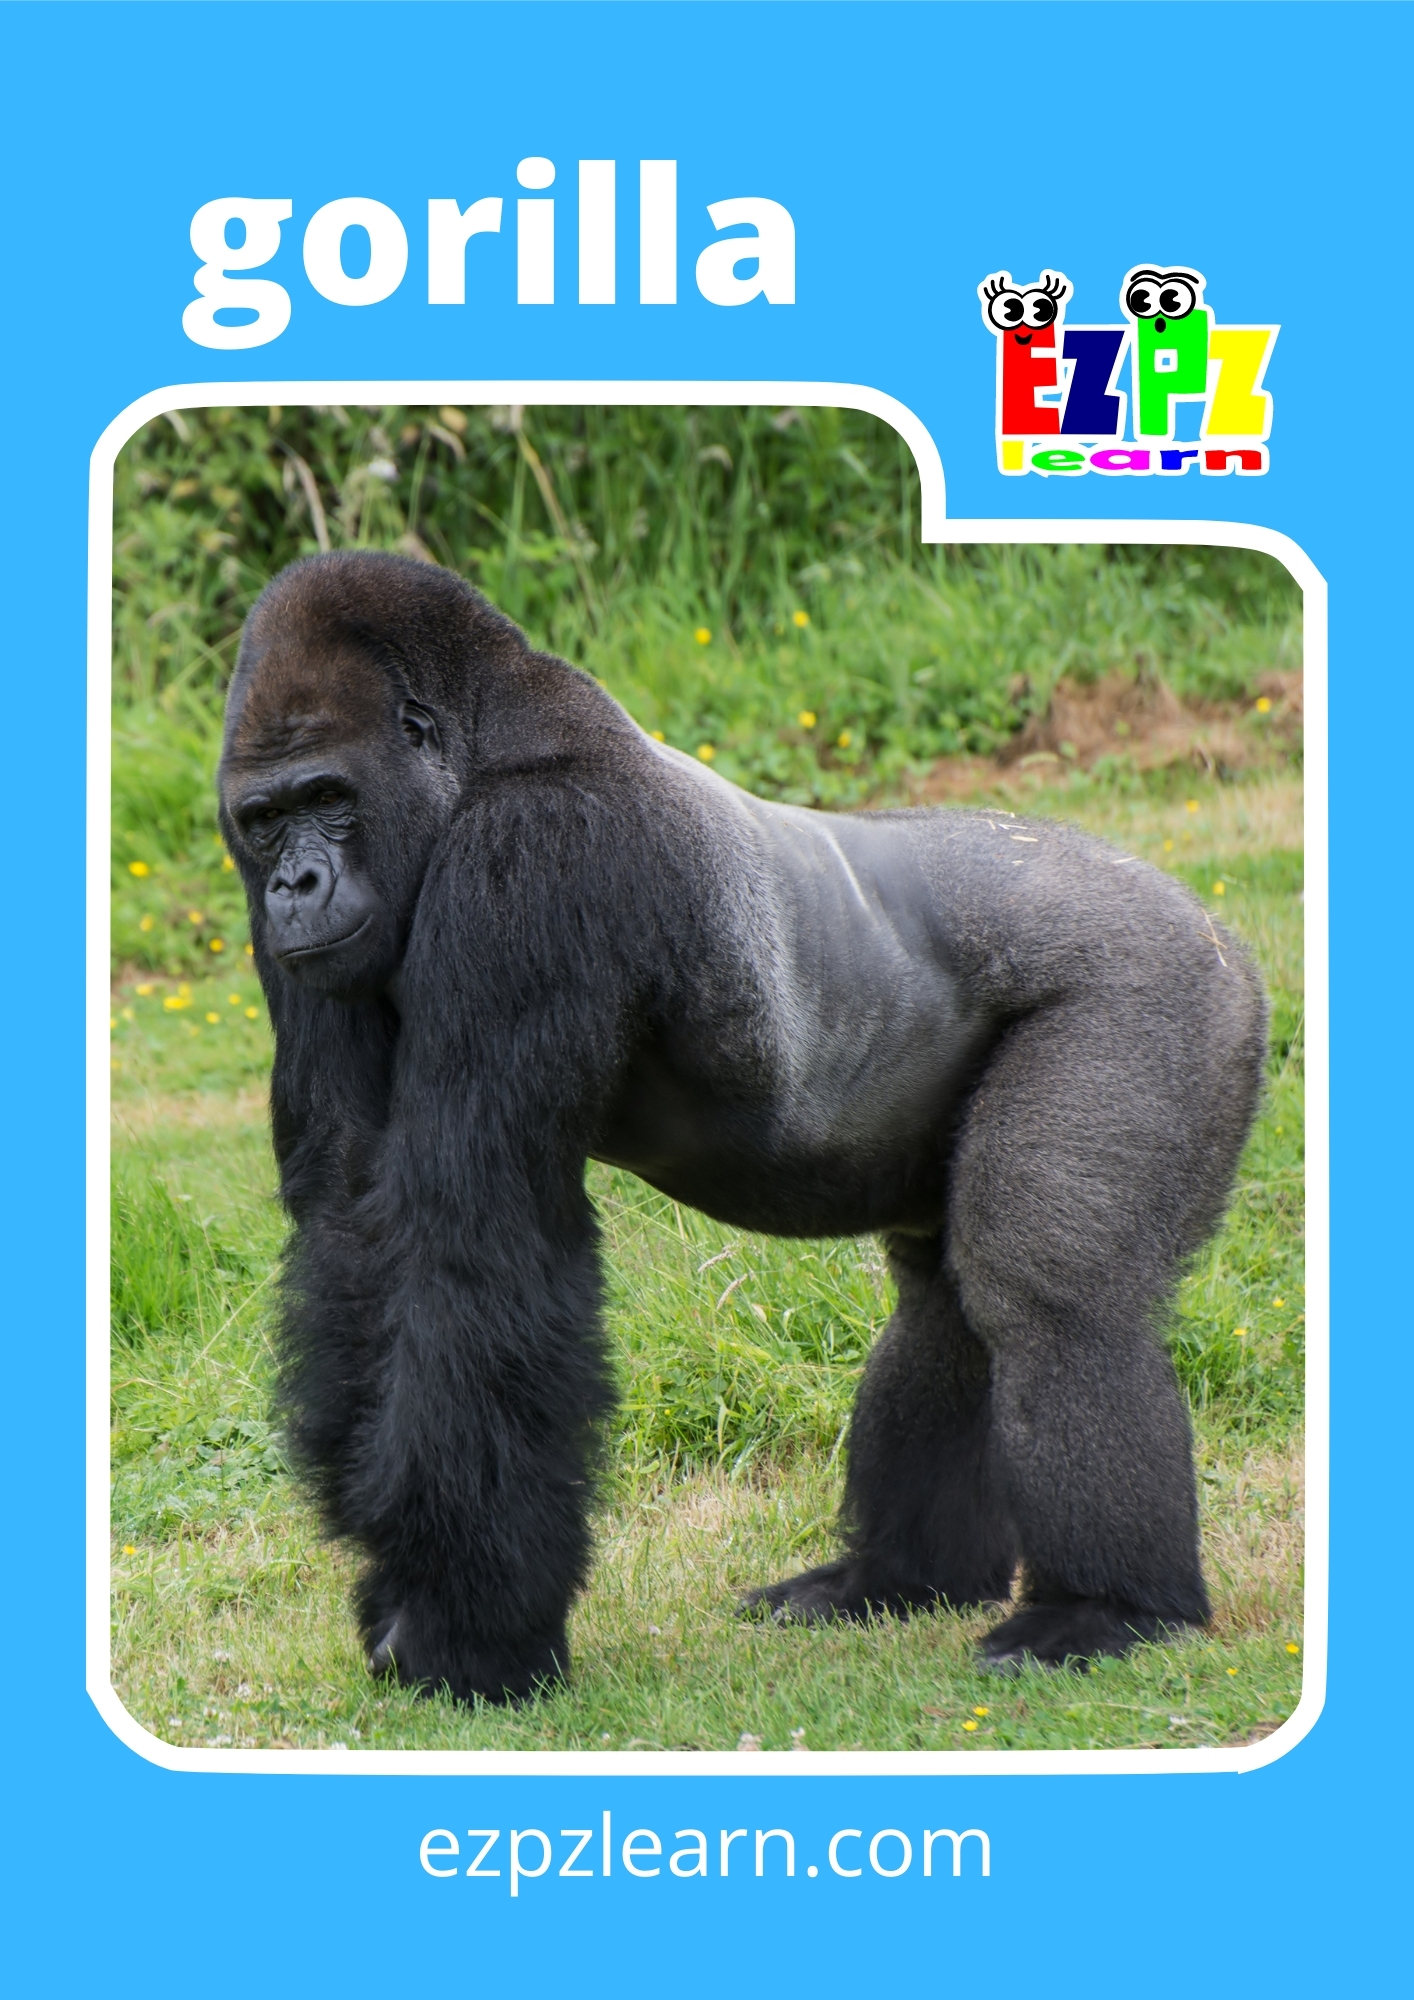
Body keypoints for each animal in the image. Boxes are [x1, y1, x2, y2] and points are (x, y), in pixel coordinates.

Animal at [217, 550, 1266, 1703]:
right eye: (263, 820)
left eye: (328, 799)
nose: (295, 884)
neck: (482, 749)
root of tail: (1213, 921)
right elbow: (354, 1216)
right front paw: (416, 1592)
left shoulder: (535, 857)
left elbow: (474, 1241)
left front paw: (467, 1625)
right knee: (943, 1301)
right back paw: (897, 1576)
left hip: (1157, 987)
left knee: (1049, 1295)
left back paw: (1108, 1607)